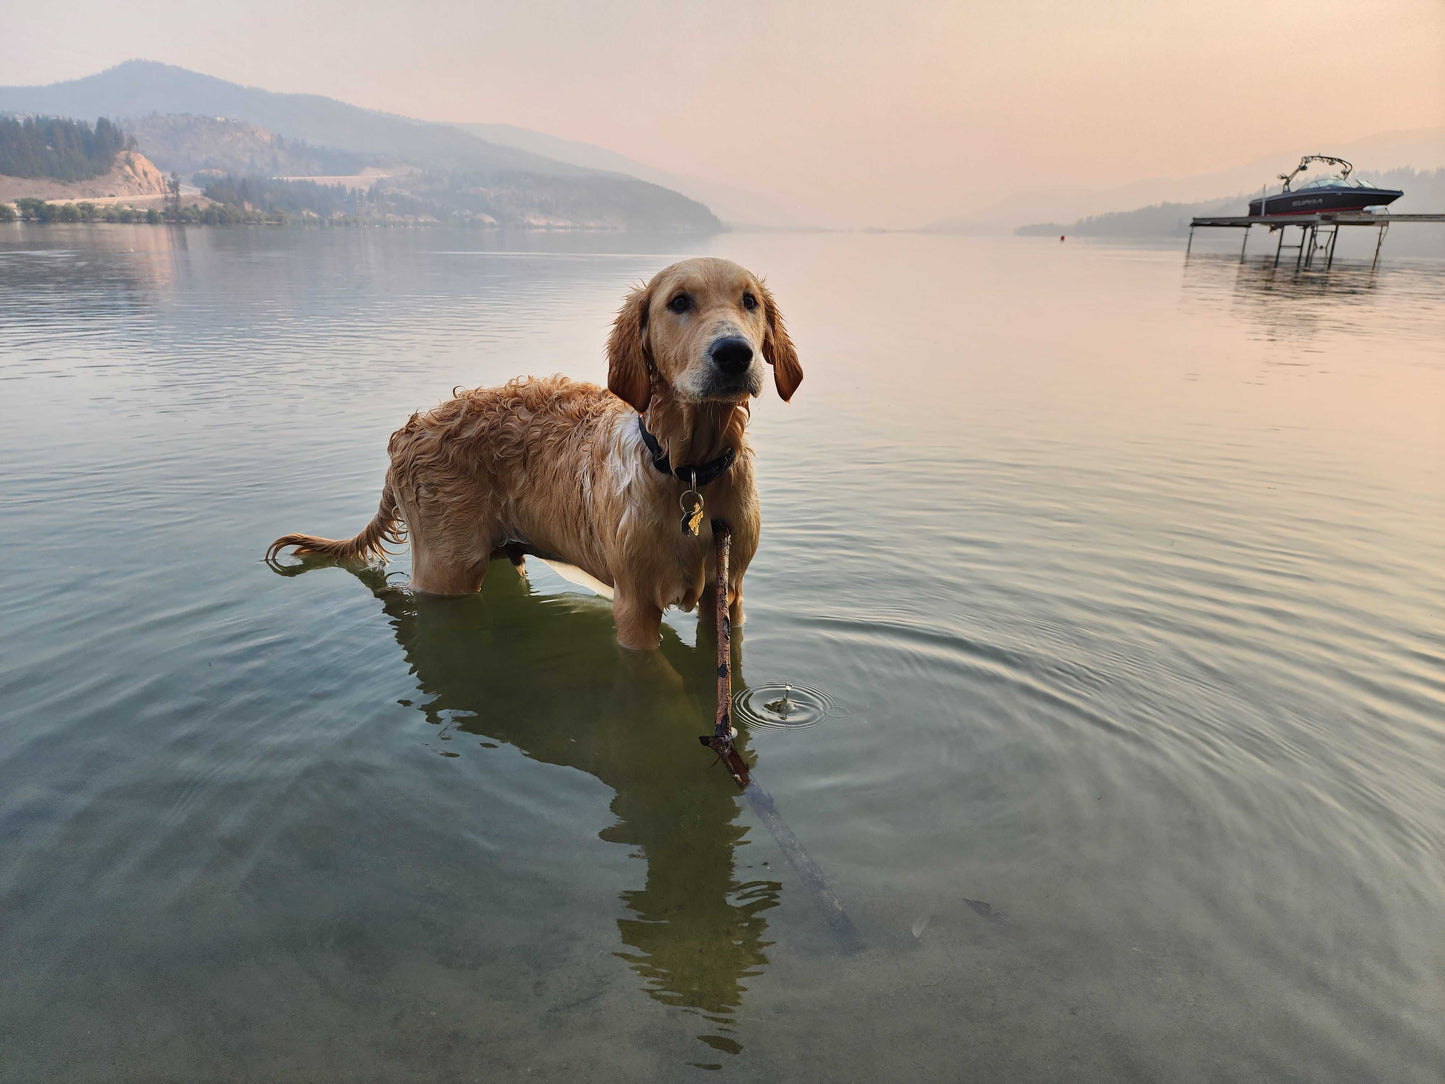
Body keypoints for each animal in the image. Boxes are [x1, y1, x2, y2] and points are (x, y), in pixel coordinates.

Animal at [261, 258, 803, 650]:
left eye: (749, 301)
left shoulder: (727, 594)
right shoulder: (634, 606)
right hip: (445, 568)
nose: (734, 353)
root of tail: (408, 432)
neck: (689, 470)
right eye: (679, 302)